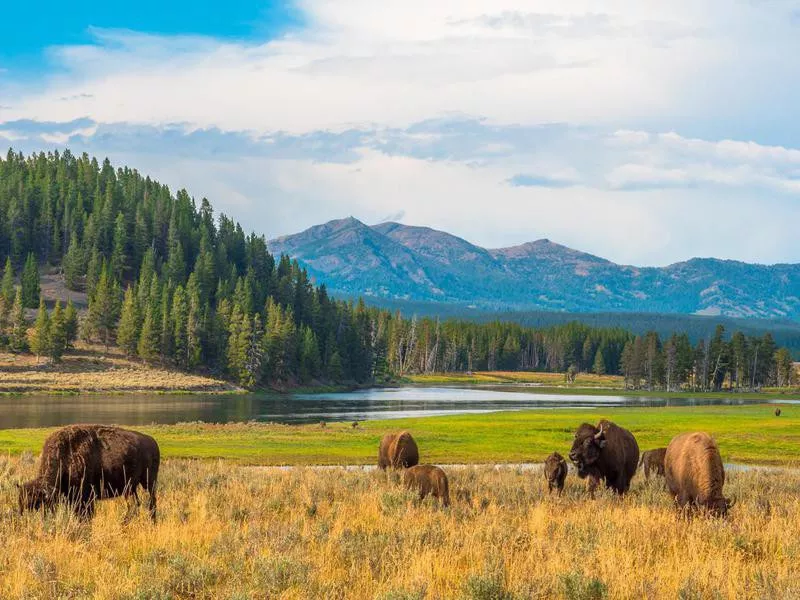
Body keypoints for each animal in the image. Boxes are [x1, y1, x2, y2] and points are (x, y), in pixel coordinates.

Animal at [18, 422, 160, 520]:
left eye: (37, 504)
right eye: (21, 502)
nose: (23, 517)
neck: (65, 456)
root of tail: (153, 441)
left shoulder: (85, 498)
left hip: (149, 482)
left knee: (151, 503)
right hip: (130, 488)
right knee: (135, 505)